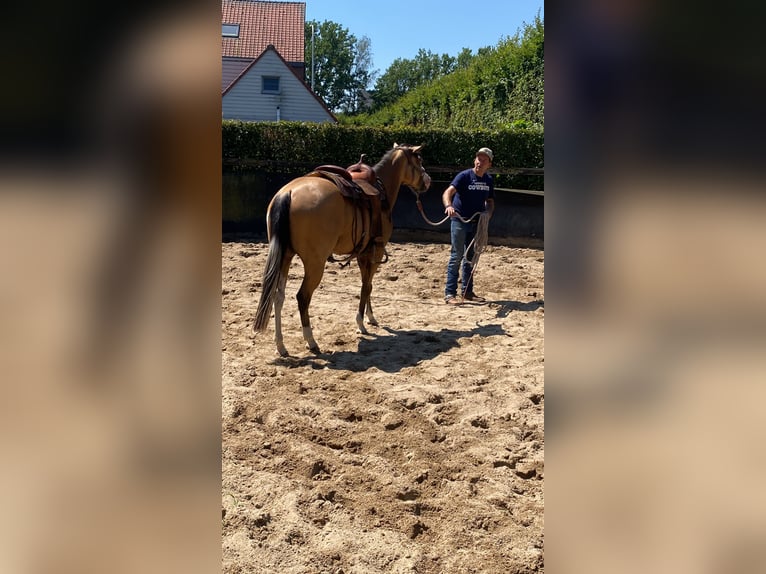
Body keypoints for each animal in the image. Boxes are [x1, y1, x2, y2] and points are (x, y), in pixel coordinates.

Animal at [254, 144, 428, 358]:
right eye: (419, 160)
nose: (427, 181)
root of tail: (287, 193)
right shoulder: (375, 252)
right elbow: (367, 286)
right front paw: (361, 323)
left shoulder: (363, 253)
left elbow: (367, 285)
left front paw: (370, 317)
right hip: (314, 264)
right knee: (302, 297)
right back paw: (311, 341)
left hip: (284, 257)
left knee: (278, 297)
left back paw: (281, 345)